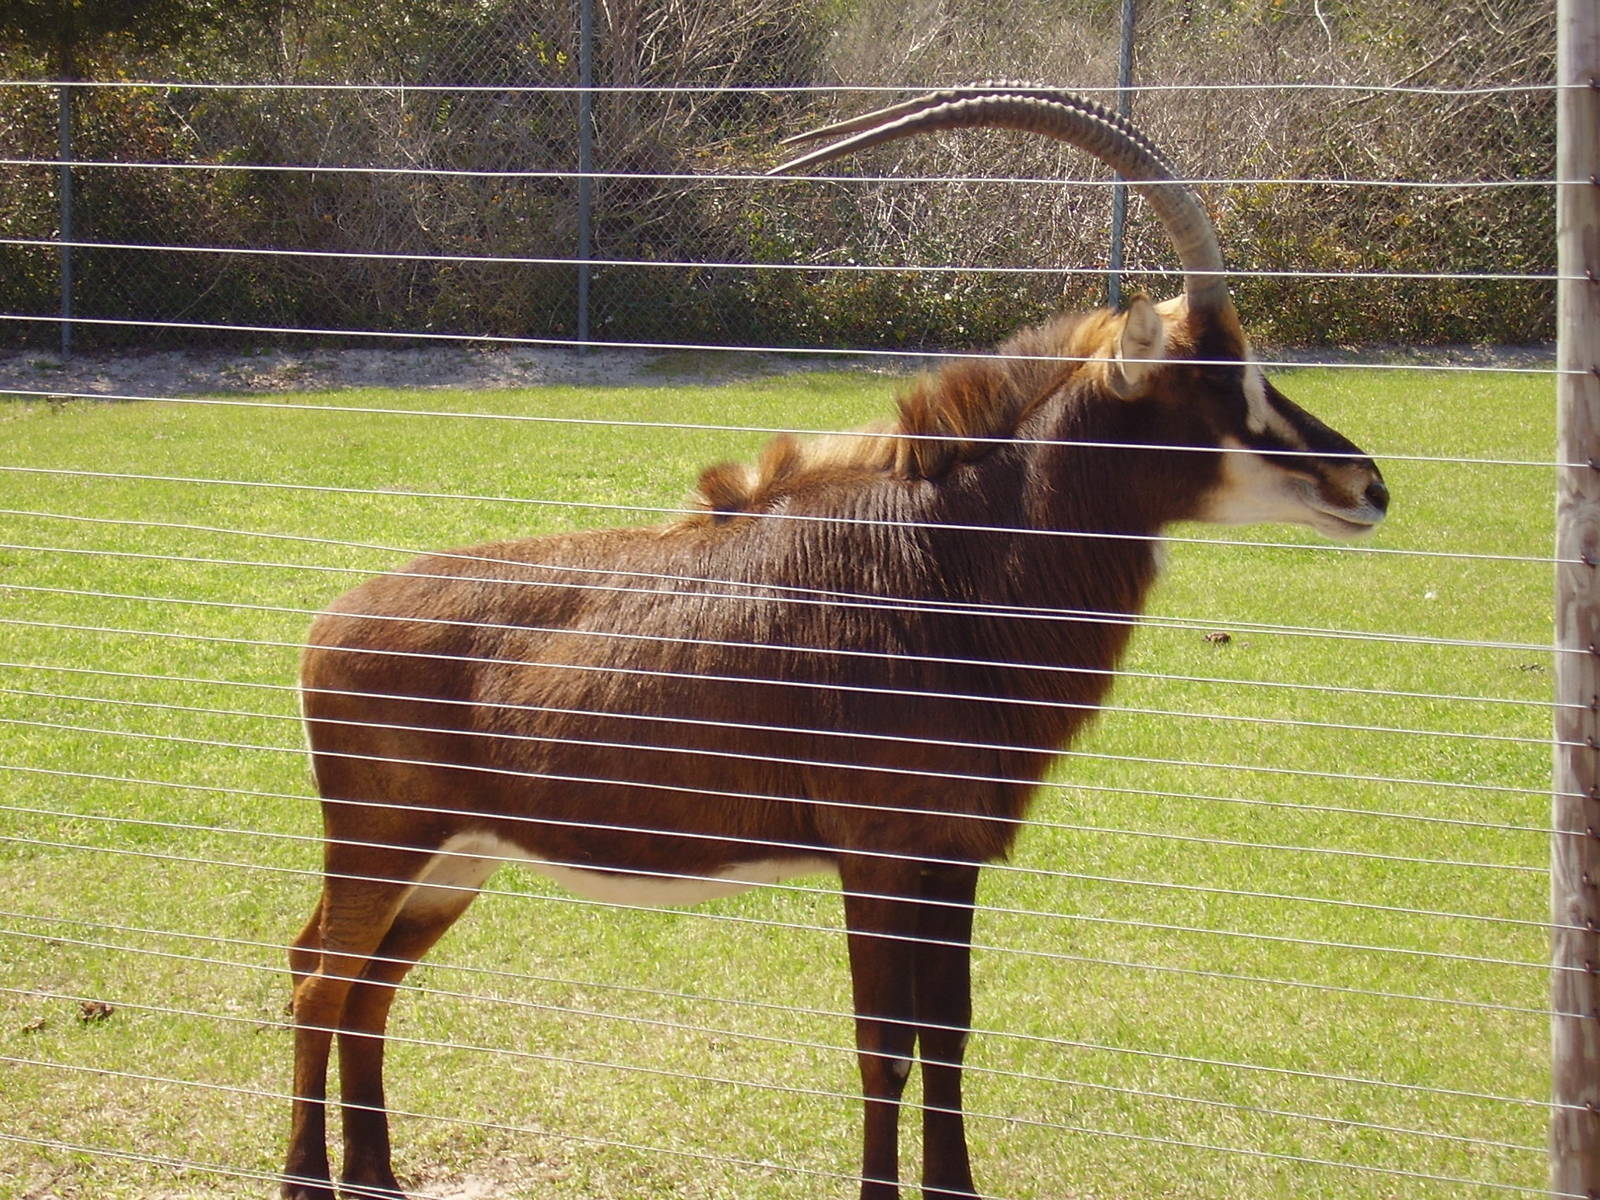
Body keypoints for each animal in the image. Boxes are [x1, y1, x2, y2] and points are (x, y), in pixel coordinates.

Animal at [281, 86, 1388, 1200]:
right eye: (1221, 383)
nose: (1367, 483)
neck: (946, 565)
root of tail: (325, 625)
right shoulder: (878, 857)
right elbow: (882, 1047)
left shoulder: (950, 859)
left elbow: (949, 1038)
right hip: (385, 848)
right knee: (318, 982)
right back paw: (306, 1178)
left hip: (452, 863)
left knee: (361, 988)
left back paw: (374, 1179)